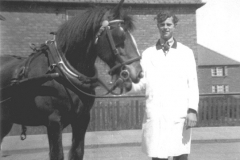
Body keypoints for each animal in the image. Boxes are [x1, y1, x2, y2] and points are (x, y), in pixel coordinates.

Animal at [0, 0, 142, 159]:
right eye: (120, 36)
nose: (138, 72)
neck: (61, 72)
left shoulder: (82, 119)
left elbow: (77, 152)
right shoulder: (54, 122)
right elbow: (57, 154)